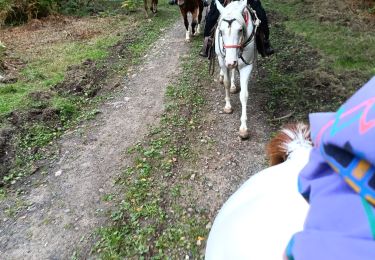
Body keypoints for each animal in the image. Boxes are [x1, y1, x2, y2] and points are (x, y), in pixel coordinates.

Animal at [216, 0, 260, 139]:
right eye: (221, 31)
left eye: (240, 30)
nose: (231, 62)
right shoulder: (222, 60)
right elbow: (226, 82)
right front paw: (228, 106)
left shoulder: (246, 66)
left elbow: (244, 95)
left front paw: (243, 128)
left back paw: (234, 85)